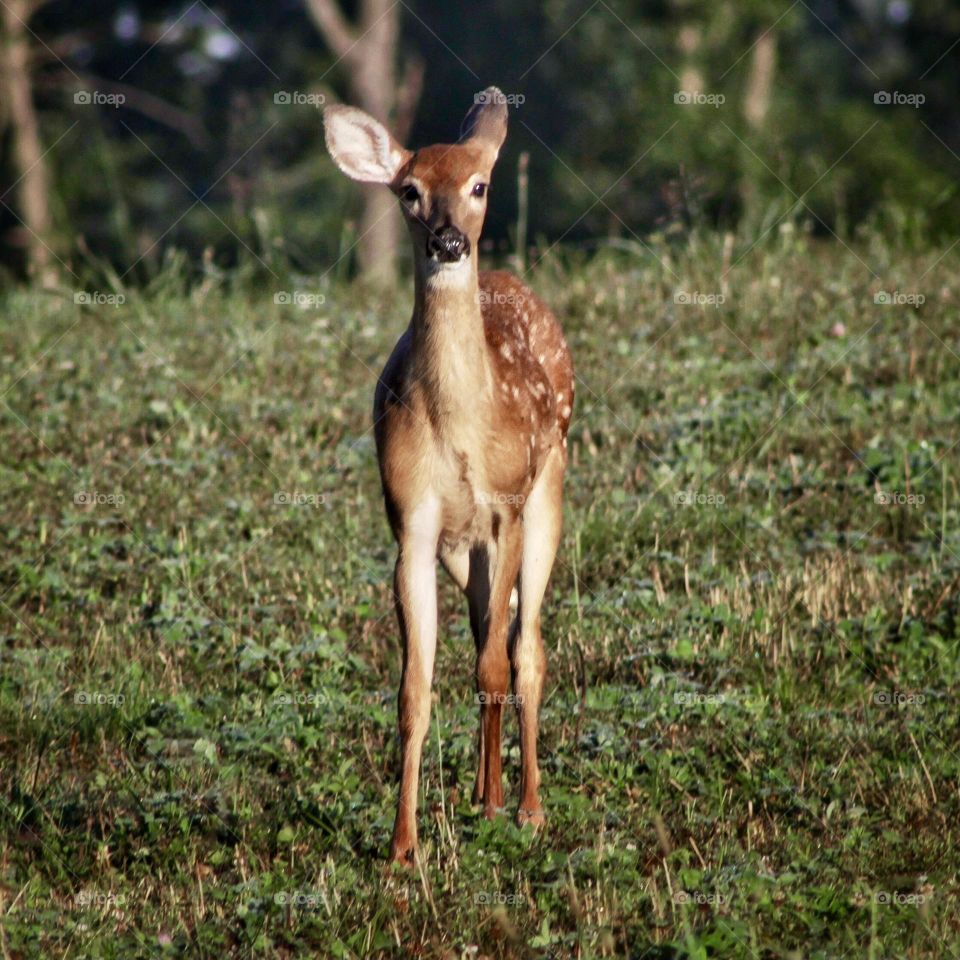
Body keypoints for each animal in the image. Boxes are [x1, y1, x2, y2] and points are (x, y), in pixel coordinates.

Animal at [326, 90, 572, 868]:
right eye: (408, 191)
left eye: (480, 185)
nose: (448, 242)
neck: (462, 423)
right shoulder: (414, 522)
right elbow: (415, 689)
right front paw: (402, 849)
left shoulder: (507, 504)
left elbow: (499, 664)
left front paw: (513, 810)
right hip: (462, 550)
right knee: (487, 633)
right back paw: (481, 794)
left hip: (550, 484)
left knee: (527, 649)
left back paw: (523, 806)